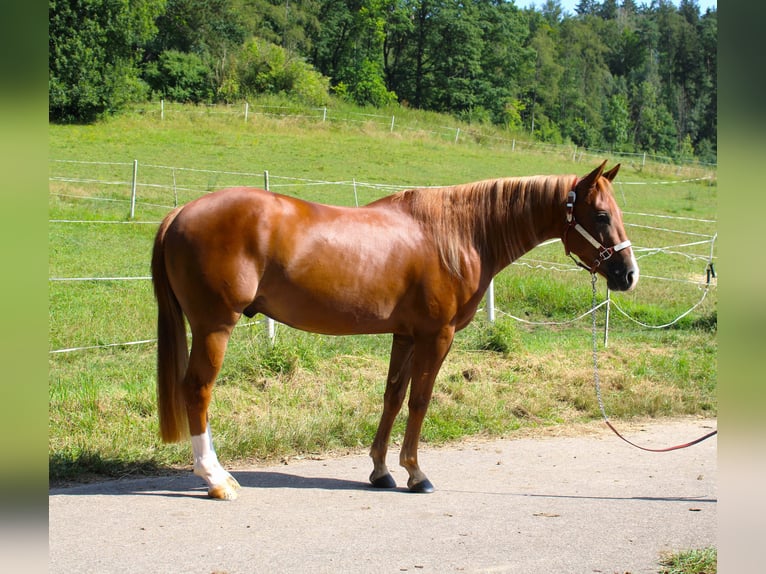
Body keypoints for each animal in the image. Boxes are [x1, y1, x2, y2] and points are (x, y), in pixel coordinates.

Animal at [153, 161, 640, 500]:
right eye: (600, 215)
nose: (628, 274)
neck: (456, 234)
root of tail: (180, 212)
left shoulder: (405, 336)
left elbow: (392, 397)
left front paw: (381, 471)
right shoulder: (437, 336)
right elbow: (420, 400)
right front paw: (416, 473)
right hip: (215, 326)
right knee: (197, 390)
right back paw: (216, 479)